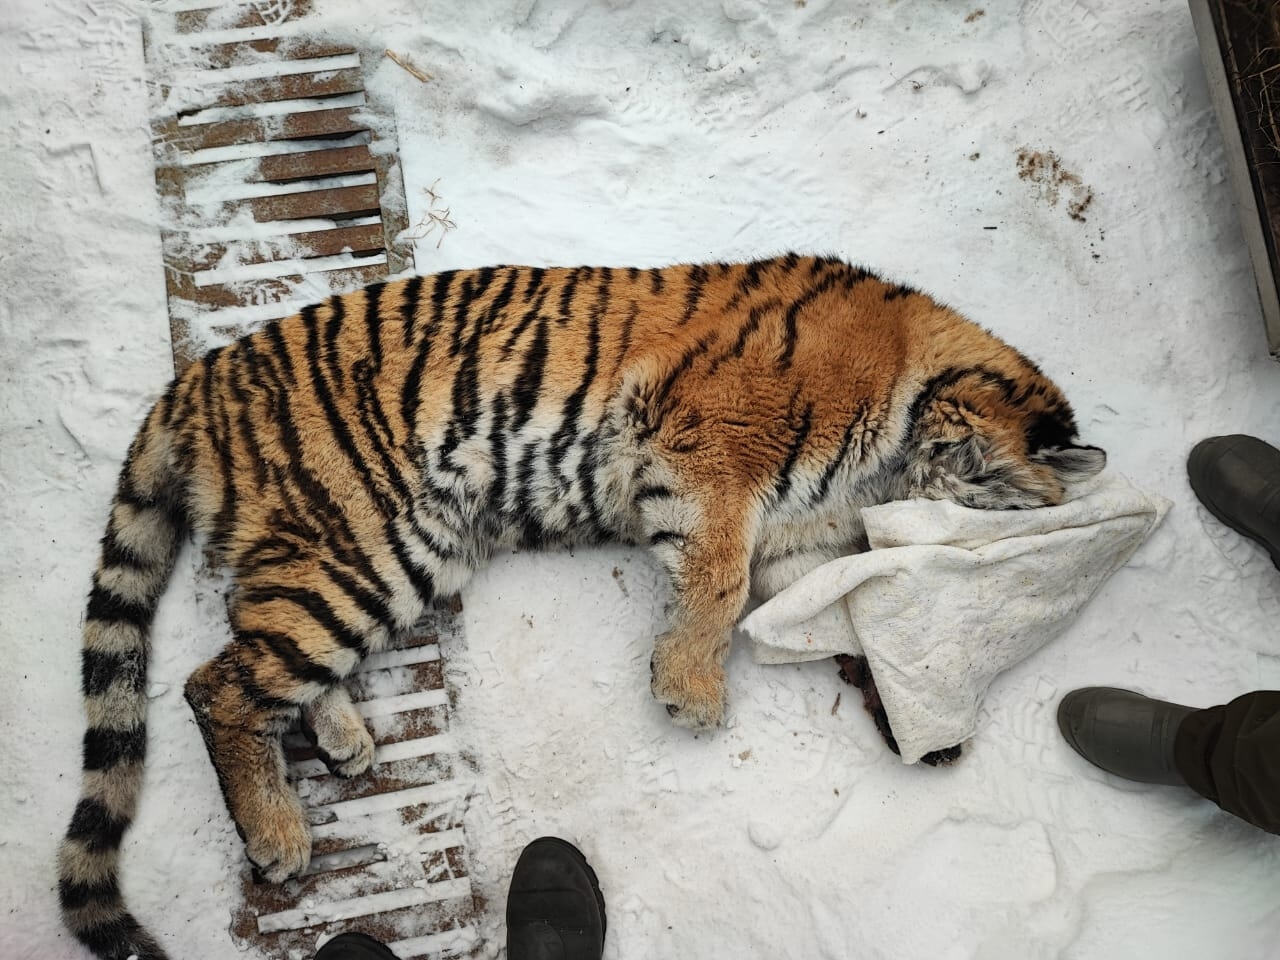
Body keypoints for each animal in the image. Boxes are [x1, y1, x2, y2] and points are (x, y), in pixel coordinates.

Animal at [55, 256, 1105, 960]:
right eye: (989, 486)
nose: (935, 511)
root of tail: (199, 378)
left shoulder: (796, 543)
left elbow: (835, 617)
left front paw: (918, 723)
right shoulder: (711, 452)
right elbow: (716, 582)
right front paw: (689, 692)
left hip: (388, 551)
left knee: (254, 638)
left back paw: (343, 735)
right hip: (366, 537)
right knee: (215, 684)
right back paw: (278, 834)